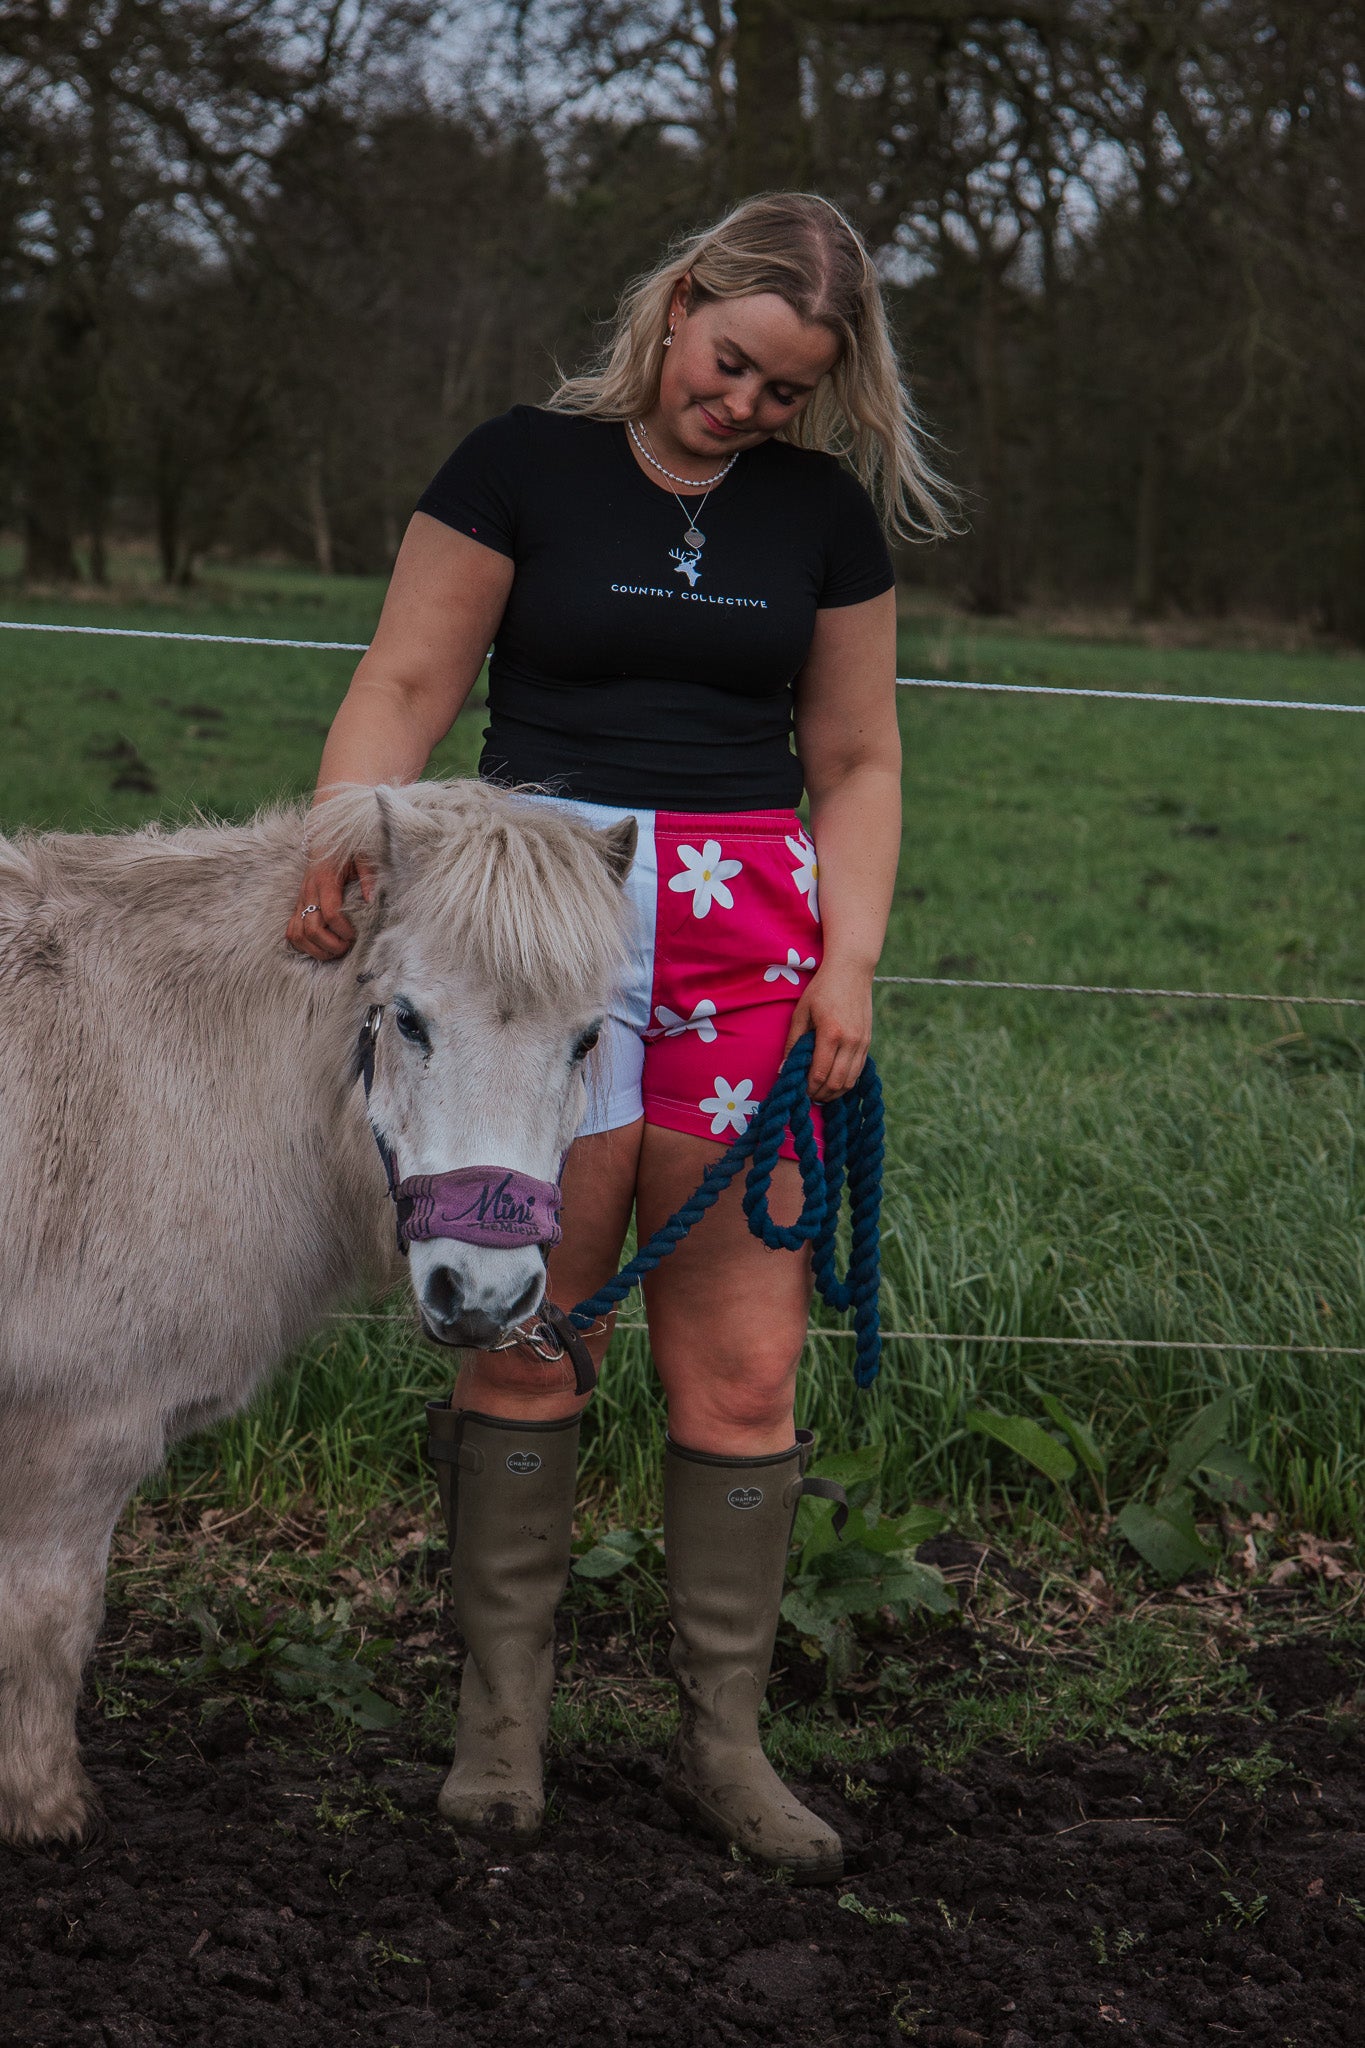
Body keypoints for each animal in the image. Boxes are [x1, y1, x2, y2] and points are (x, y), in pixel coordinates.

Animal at [0, 778, 634, 1843]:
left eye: (586, 1039)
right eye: (407, 1021)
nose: (483, 1292)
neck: (152, 1077)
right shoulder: (72, 1437)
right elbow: (44, 1619)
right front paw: (42, 1809)